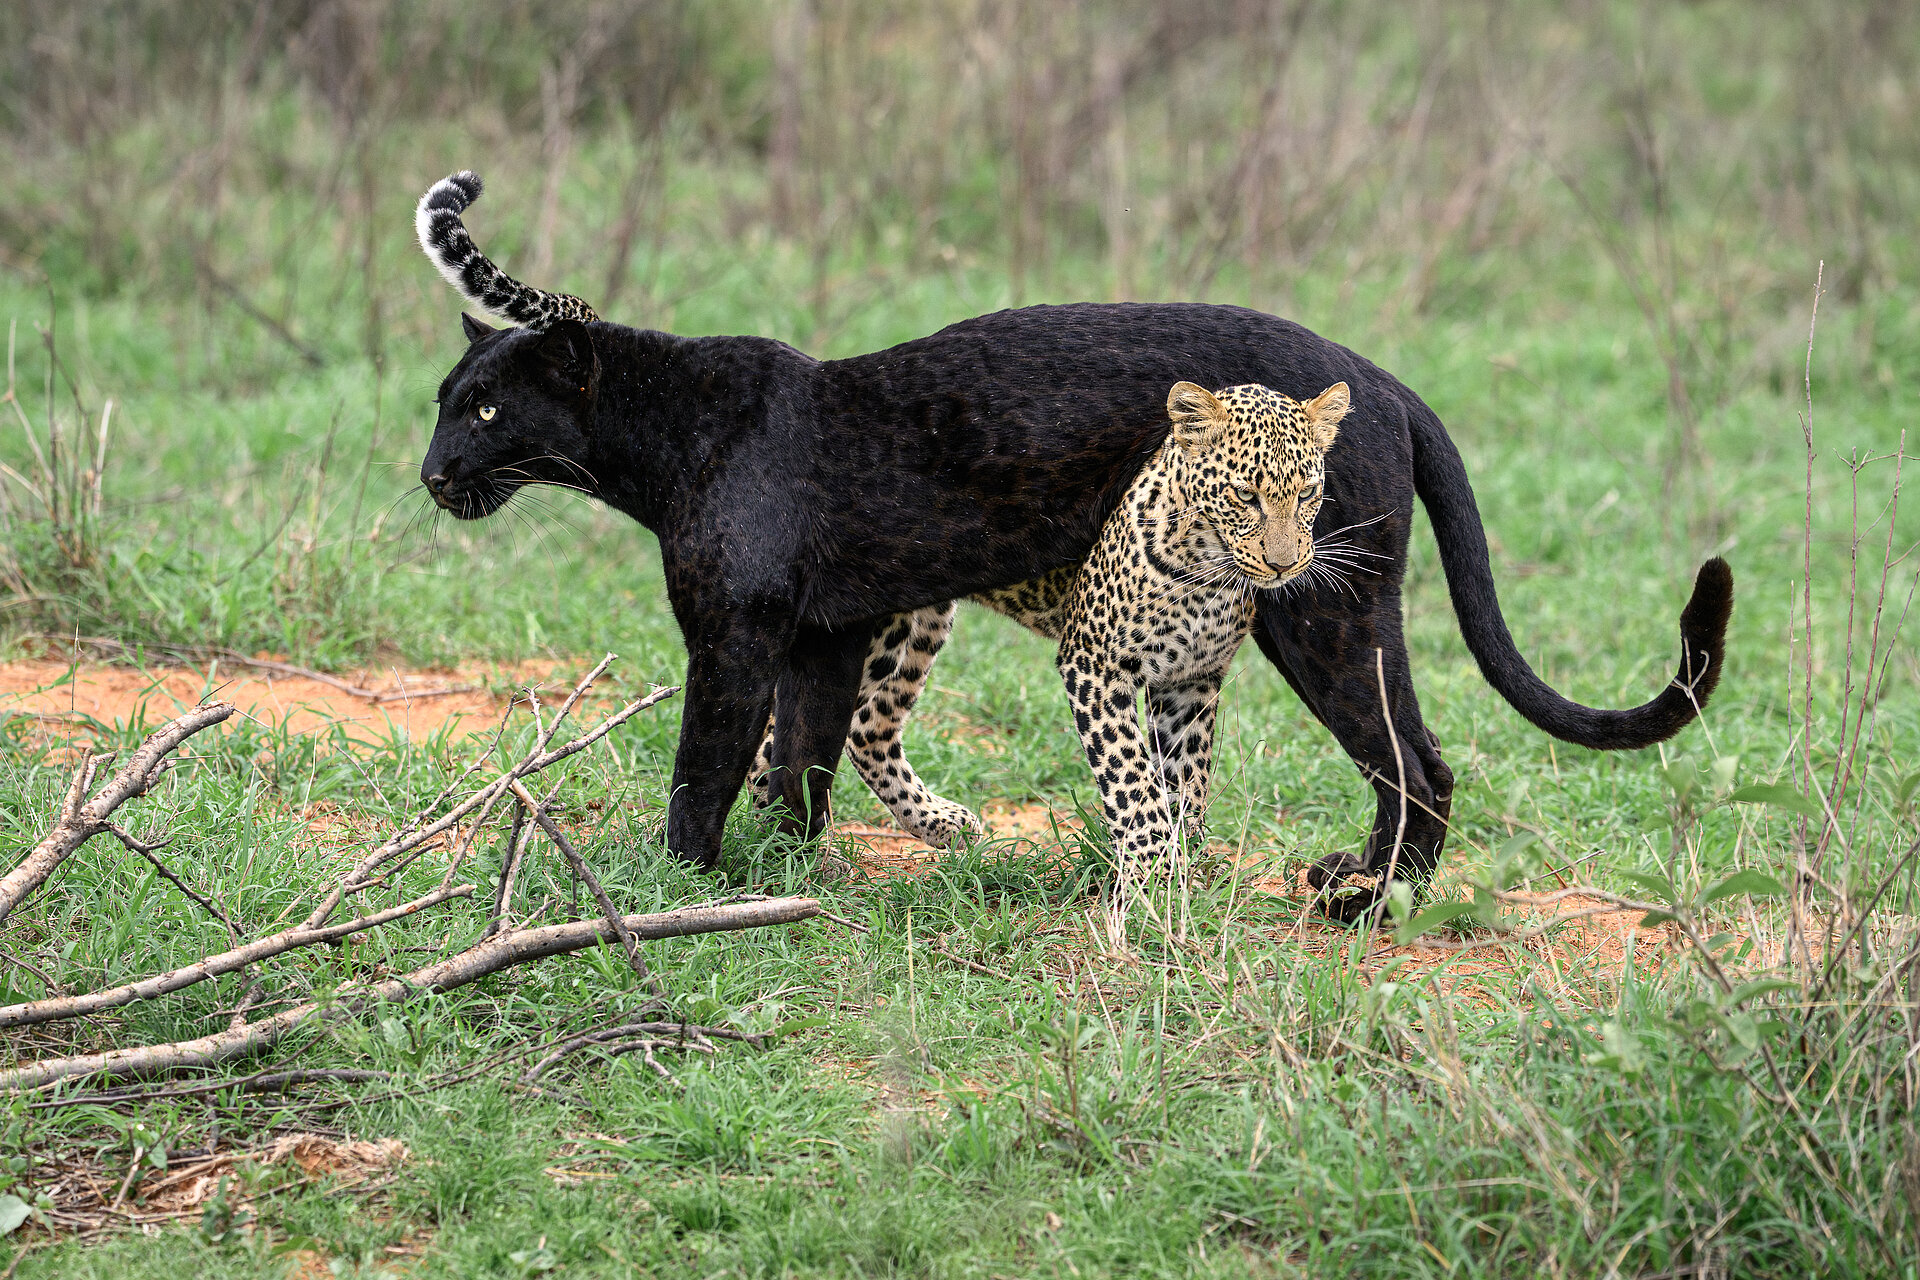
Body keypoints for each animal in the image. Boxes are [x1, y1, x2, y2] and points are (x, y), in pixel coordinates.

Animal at [753, 378, 1348, 873]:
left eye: (1308, 494)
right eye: (1246, 494)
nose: (1285, 564)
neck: (1210, 571)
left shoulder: (1191, 682)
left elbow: (1186, 784)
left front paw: (1186, 873)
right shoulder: (1096, 664)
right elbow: (1134, 780)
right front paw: (1153, 873)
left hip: (917, 622)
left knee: (866, 726)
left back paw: (935, 823)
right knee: (785, 736)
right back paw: (782, 853)